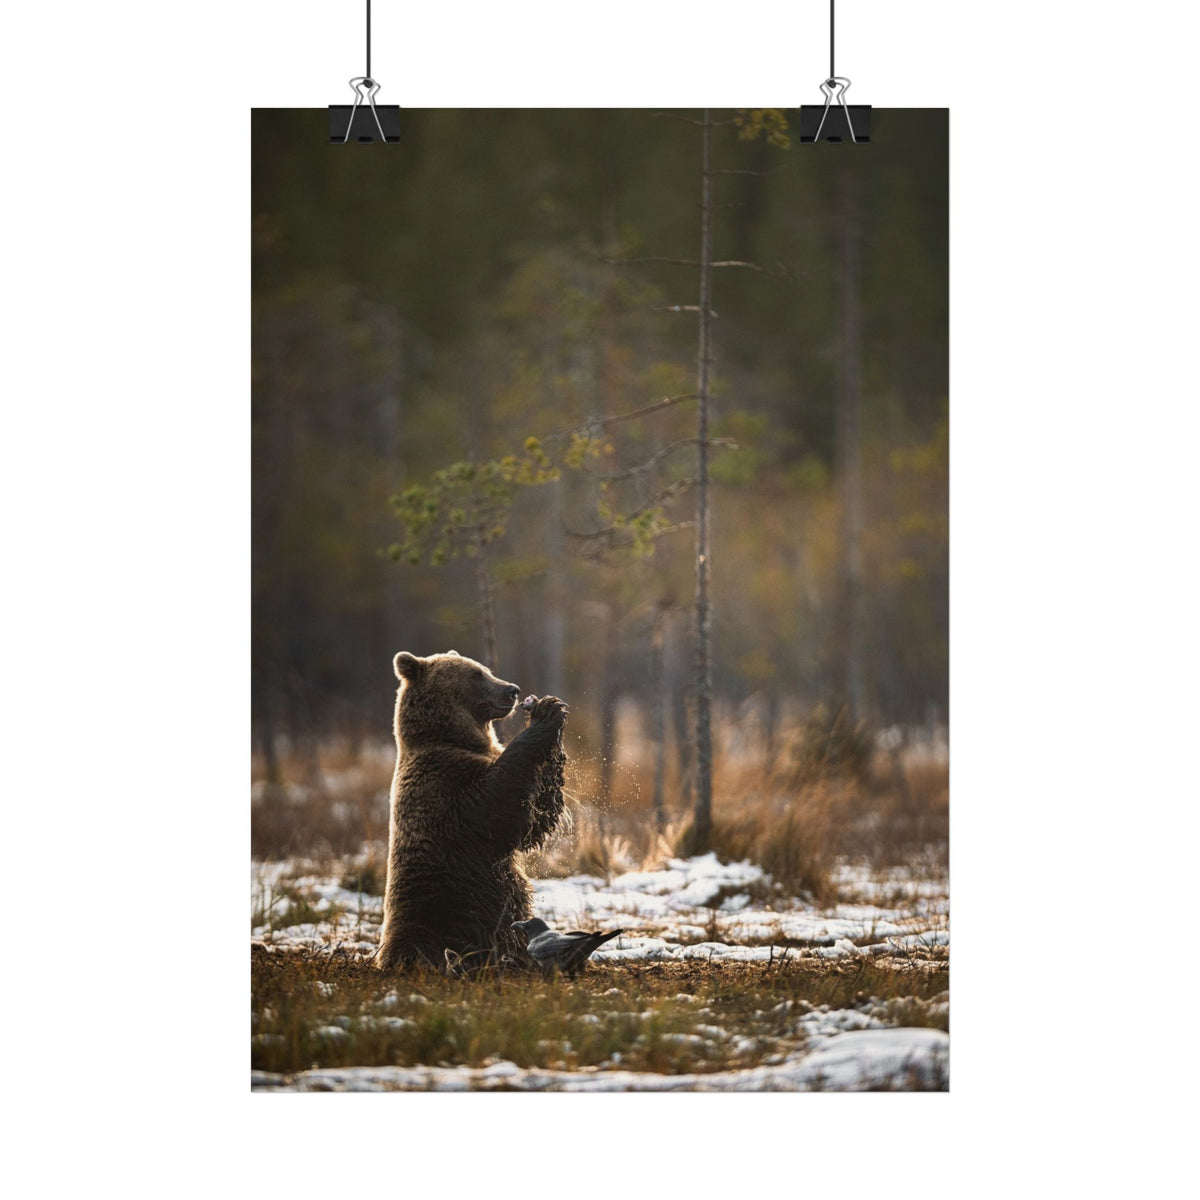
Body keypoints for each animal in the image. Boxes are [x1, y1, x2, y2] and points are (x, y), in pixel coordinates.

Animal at [374, 649, 567, 972]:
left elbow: (532, 819)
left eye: (486, 669)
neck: (451, 737)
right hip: (440, 914)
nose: (512, 690)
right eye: (476, 674)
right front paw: (547, 715)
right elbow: (500, 808)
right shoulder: (448, 788)